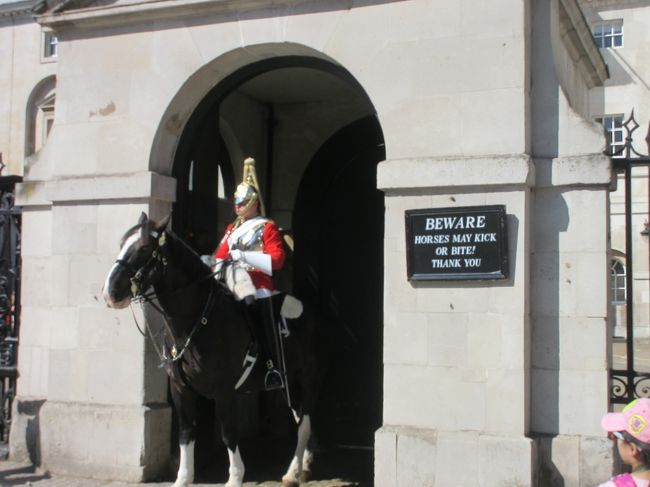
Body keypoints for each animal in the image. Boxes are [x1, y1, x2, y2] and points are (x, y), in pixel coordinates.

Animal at [101, 214, 322, 487]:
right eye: (122, 243)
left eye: (143, 248)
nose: (109, 293)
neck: (194, 322)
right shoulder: (181, 389)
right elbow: (186, 433)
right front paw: (183, 478)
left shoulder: (224, 391)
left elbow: (229, 433)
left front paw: (235, 477)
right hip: (287, 384)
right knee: (300, 417)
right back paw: (302, 467)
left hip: (306, 376)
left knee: (305, 423)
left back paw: (293, 472)